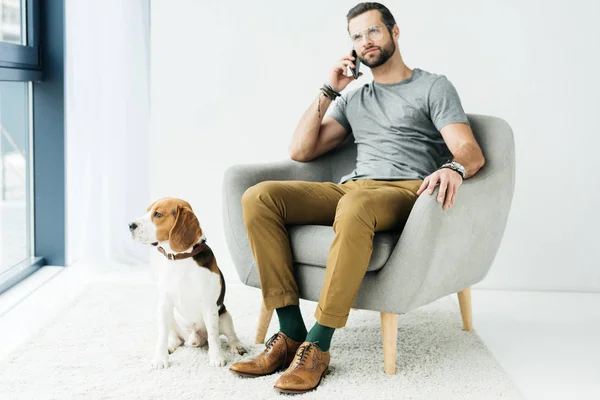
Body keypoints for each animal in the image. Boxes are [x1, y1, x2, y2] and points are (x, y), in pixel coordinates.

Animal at [129, 197, 246, 368]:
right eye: (147, 211)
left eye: (158, 214)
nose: (130, 225)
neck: (180, 259)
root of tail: (193, 340)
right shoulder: (164, 304)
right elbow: (161, 336)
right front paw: (160, 358)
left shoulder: (209, 306)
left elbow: (213, 336)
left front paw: (217, 357)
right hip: (171, 318)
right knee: (176, 339)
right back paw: (170, 346)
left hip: (224, 316)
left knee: (230, 335)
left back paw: (237, 346)